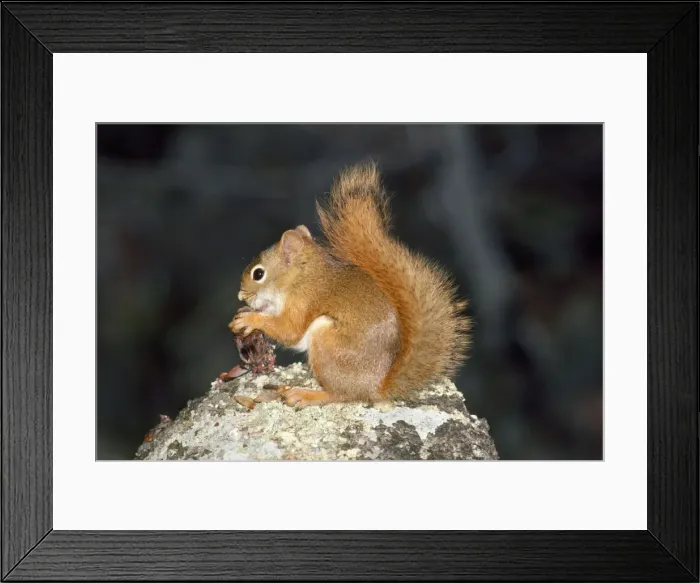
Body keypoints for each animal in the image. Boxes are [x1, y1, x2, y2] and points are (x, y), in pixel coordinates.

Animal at [230, 161, 471, 408]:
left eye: (258, 274)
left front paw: (250, 319)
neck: (302, 277)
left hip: (328, 343)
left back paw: (306, 394)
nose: (241, 296)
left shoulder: (303, 301)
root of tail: (375, 388)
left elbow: (289, 330)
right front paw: (244, 312)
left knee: (340, 395)